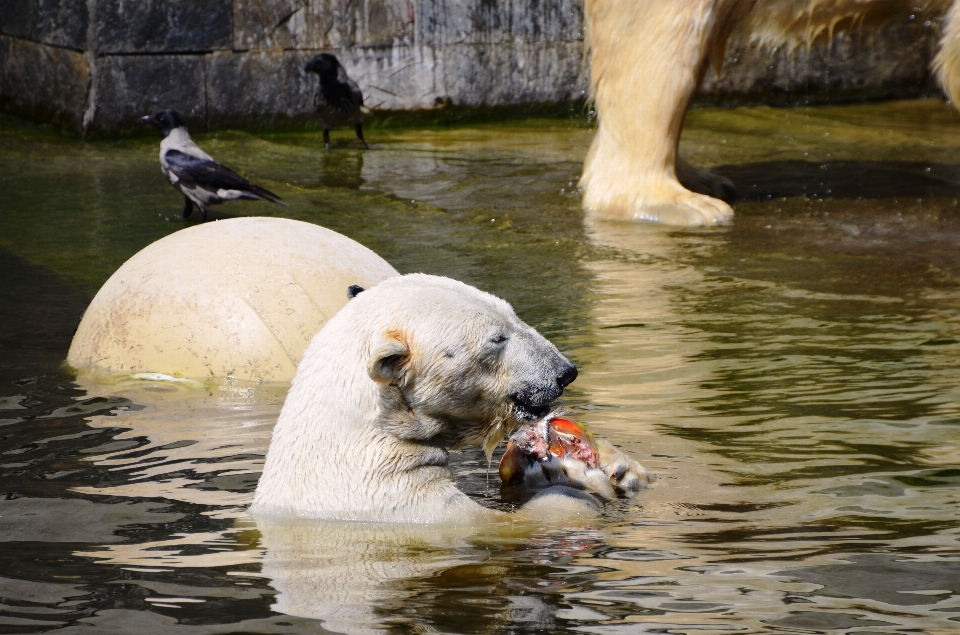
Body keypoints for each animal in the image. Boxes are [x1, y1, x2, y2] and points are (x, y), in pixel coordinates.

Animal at [251, 274, 648, 520]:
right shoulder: (407, 508)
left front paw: (620, 464)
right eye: (497, 338)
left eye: (513, 313)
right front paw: (564, 474)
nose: (564, 372)